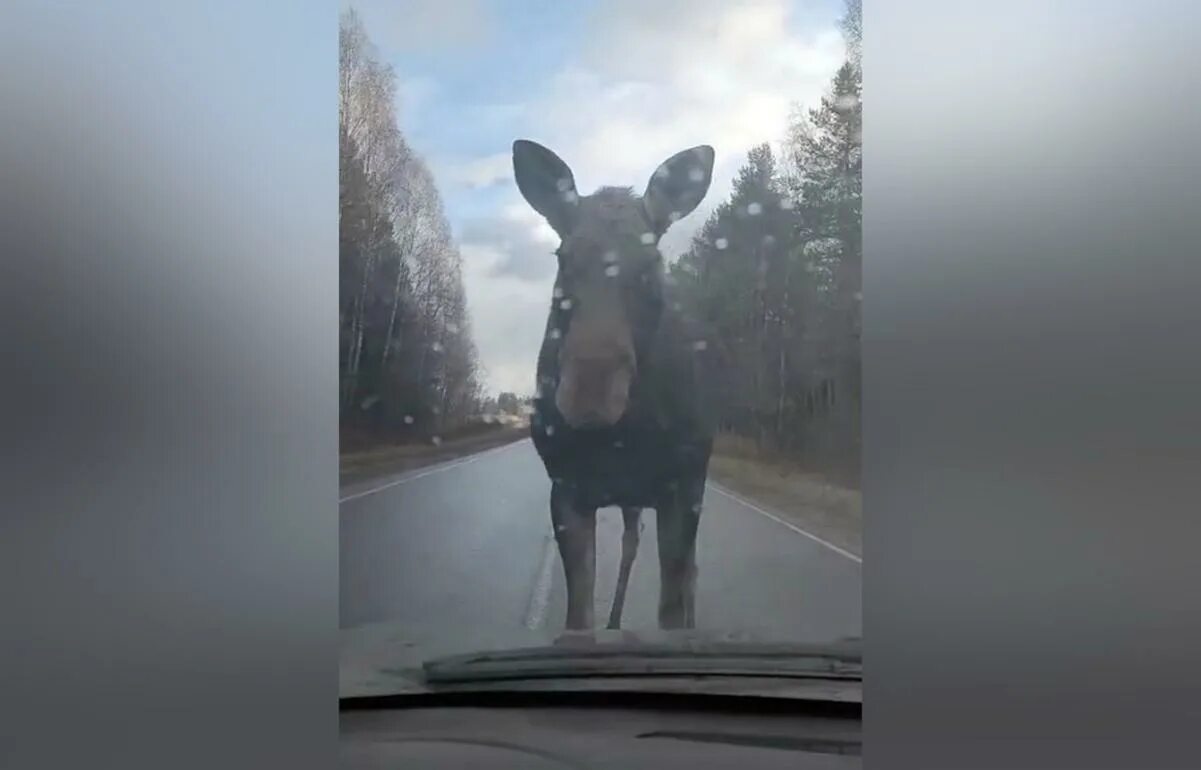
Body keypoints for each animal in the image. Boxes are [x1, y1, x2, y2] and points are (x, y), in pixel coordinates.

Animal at [509, 139, 715, 629]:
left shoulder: (684, 486)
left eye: (652, 264)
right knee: (630, 545)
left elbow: (671, 605)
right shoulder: (566, 488)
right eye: (562, 258)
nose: (590, 395)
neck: (625, 435)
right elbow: (578, 613)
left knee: (684, 569)